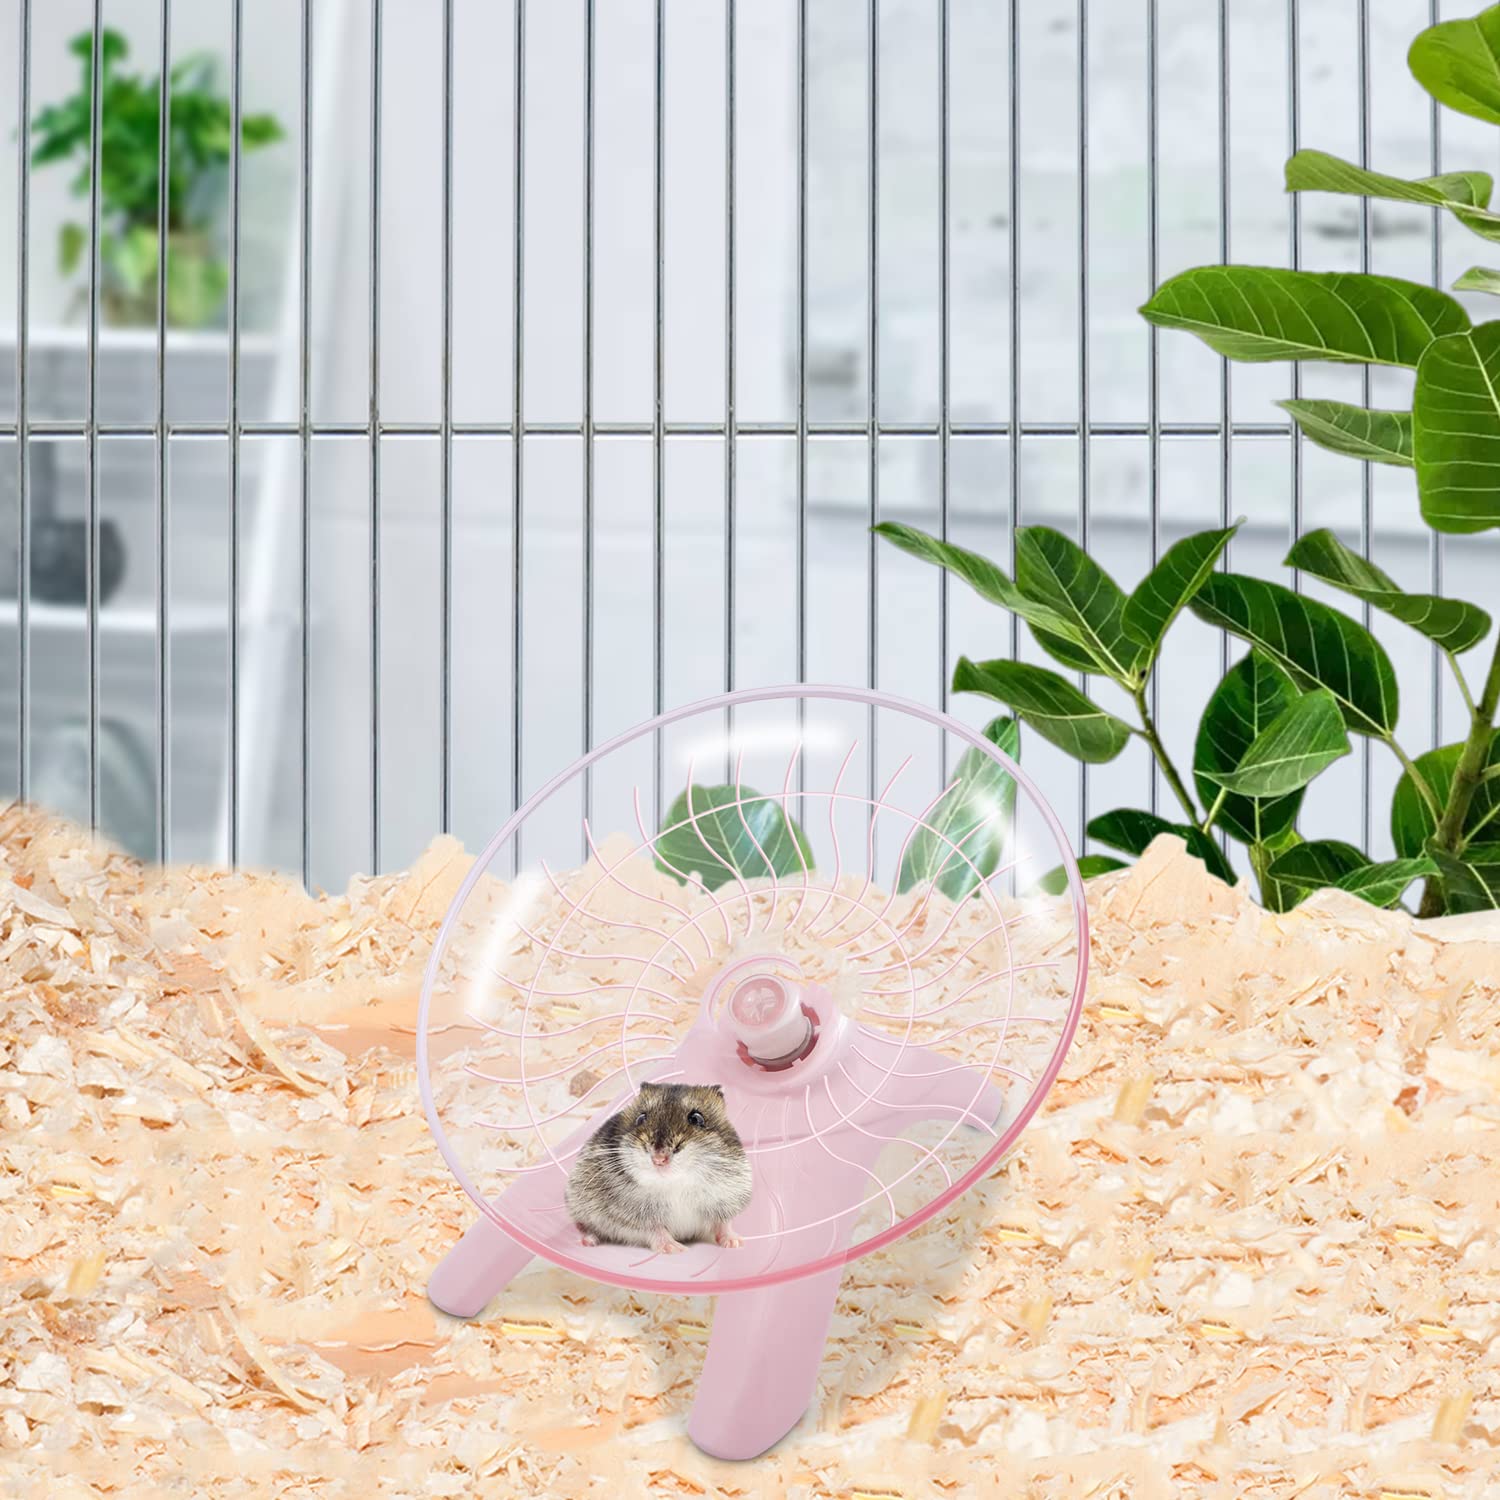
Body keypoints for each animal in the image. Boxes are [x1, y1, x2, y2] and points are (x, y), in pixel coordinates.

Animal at [565, 1081, 752, 1255]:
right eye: (641, 1118)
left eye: (697, 1119)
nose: (659, 1159)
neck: (675, 1183)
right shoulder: (632, 1217)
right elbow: (656, 1230)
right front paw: (676, 1249)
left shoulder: (724, 1200)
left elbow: (723, 1223)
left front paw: (735, 1243)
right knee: (584, 1226)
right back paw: (588, 1241)